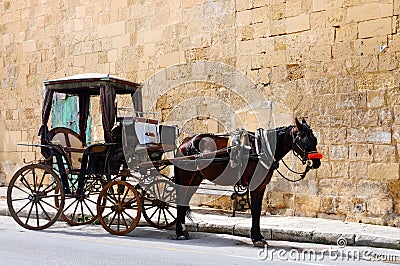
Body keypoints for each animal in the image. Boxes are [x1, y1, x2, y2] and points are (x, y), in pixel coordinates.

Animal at [174, 118, 322, 247]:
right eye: (306, 140)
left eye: (314, 139)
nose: (317, 162)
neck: (262, 149)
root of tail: (185, 143)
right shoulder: (255, 186)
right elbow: (255, 211)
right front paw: (257, 238)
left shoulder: (261, 187)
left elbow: (257, 210)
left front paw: (258, 236)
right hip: (186, 177)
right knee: (181, 201)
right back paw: (180, 232)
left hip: (195, 179)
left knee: (184, 202)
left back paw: (182, 230)